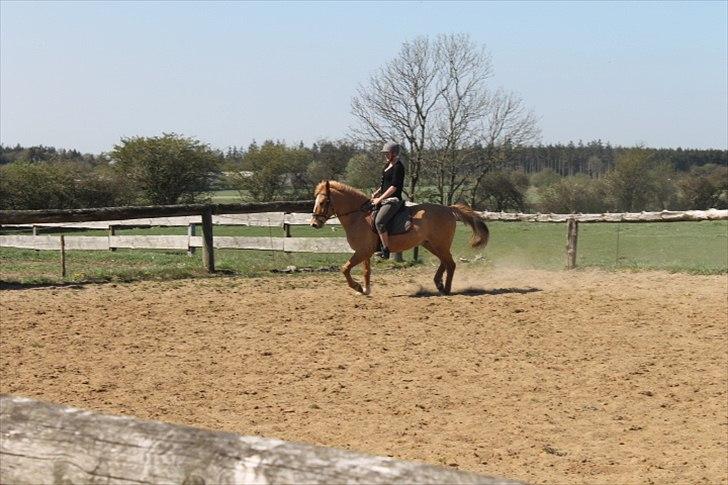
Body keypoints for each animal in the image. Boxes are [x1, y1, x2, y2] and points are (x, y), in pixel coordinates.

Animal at [308, 181, 490, 294]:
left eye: (323, 202)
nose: (314, 223)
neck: (358, 216)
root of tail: (448, 209)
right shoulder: (364, 252)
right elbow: (366, 271)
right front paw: (366, 290)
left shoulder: (362, 251)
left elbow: (344, 268)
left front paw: (358, 287)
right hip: (430, 244)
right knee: (445, 262)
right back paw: (438, 284)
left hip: (440, 244)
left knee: (450, 264)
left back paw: (445, 289)